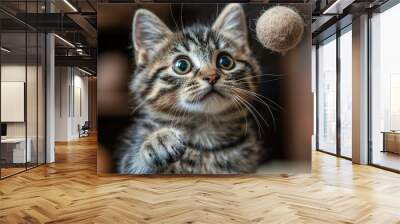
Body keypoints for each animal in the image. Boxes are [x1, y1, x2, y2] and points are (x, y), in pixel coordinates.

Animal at [117, 3, 264, 175]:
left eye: (225, 61)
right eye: (182, 65)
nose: (212, 77)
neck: (205, 137)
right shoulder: (128, 164)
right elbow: (134, 164)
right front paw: (157, 140)